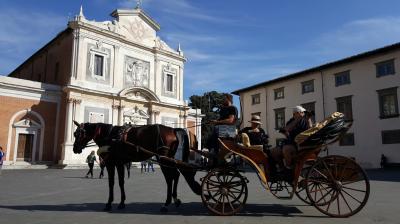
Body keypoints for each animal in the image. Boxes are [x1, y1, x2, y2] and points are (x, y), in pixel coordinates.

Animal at [72, 122, 202, 212]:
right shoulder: (120, 163)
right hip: (168, 158)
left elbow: (112, 183)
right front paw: (122, 202)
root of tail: (173, 129)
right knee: (176, 175)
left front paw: (109, 204)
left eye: (78, 133)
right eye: (74, 134)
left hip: (163, 158)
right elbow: (121, 182)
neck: (110, 136)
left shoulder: (111, 163)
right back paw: (175, 200)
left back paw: (166, 204)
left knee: (170, 179)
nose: (75, 149)